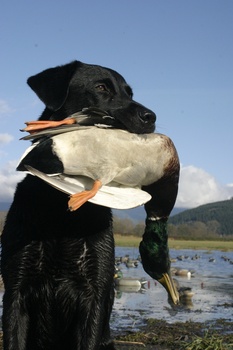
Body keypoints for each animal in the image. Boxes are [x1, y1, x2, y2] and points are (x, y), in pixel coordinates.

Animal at [1, 60, 157, 350]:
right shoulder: (16, 290)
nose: (151, 117)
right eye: (101, 87)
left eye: (129, 92)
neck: (60, 214)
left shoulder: (93, 294)